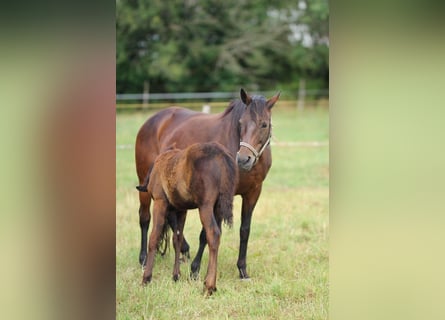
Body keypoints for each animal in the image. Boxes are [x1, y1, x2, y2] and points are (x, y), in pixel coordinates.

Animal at [134, 89, 280, 278]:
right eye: (241, 123)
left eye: (264, 124)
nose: (243, 159)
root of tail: (152, 121)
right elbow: (207, 233)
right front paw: (195, 269)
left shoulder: (253, 193)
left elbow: (244, 230)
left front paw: (242, 270)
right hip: (145, 184)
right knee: (144, 218)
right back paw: (144, 259)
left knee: (172, 218)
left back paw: (184, 250)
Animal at [141, 142, 236, 296]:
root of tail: (221, 155)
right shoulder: (181, 210)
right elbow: (177, 240)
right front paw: (176, 275)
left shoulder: (160, 202)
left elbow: (154, 237)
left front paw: (146, 278)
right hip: (217, 207)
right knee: (217, 234)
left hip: (205, 206)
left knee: (213, 234)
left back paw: (209, 286)